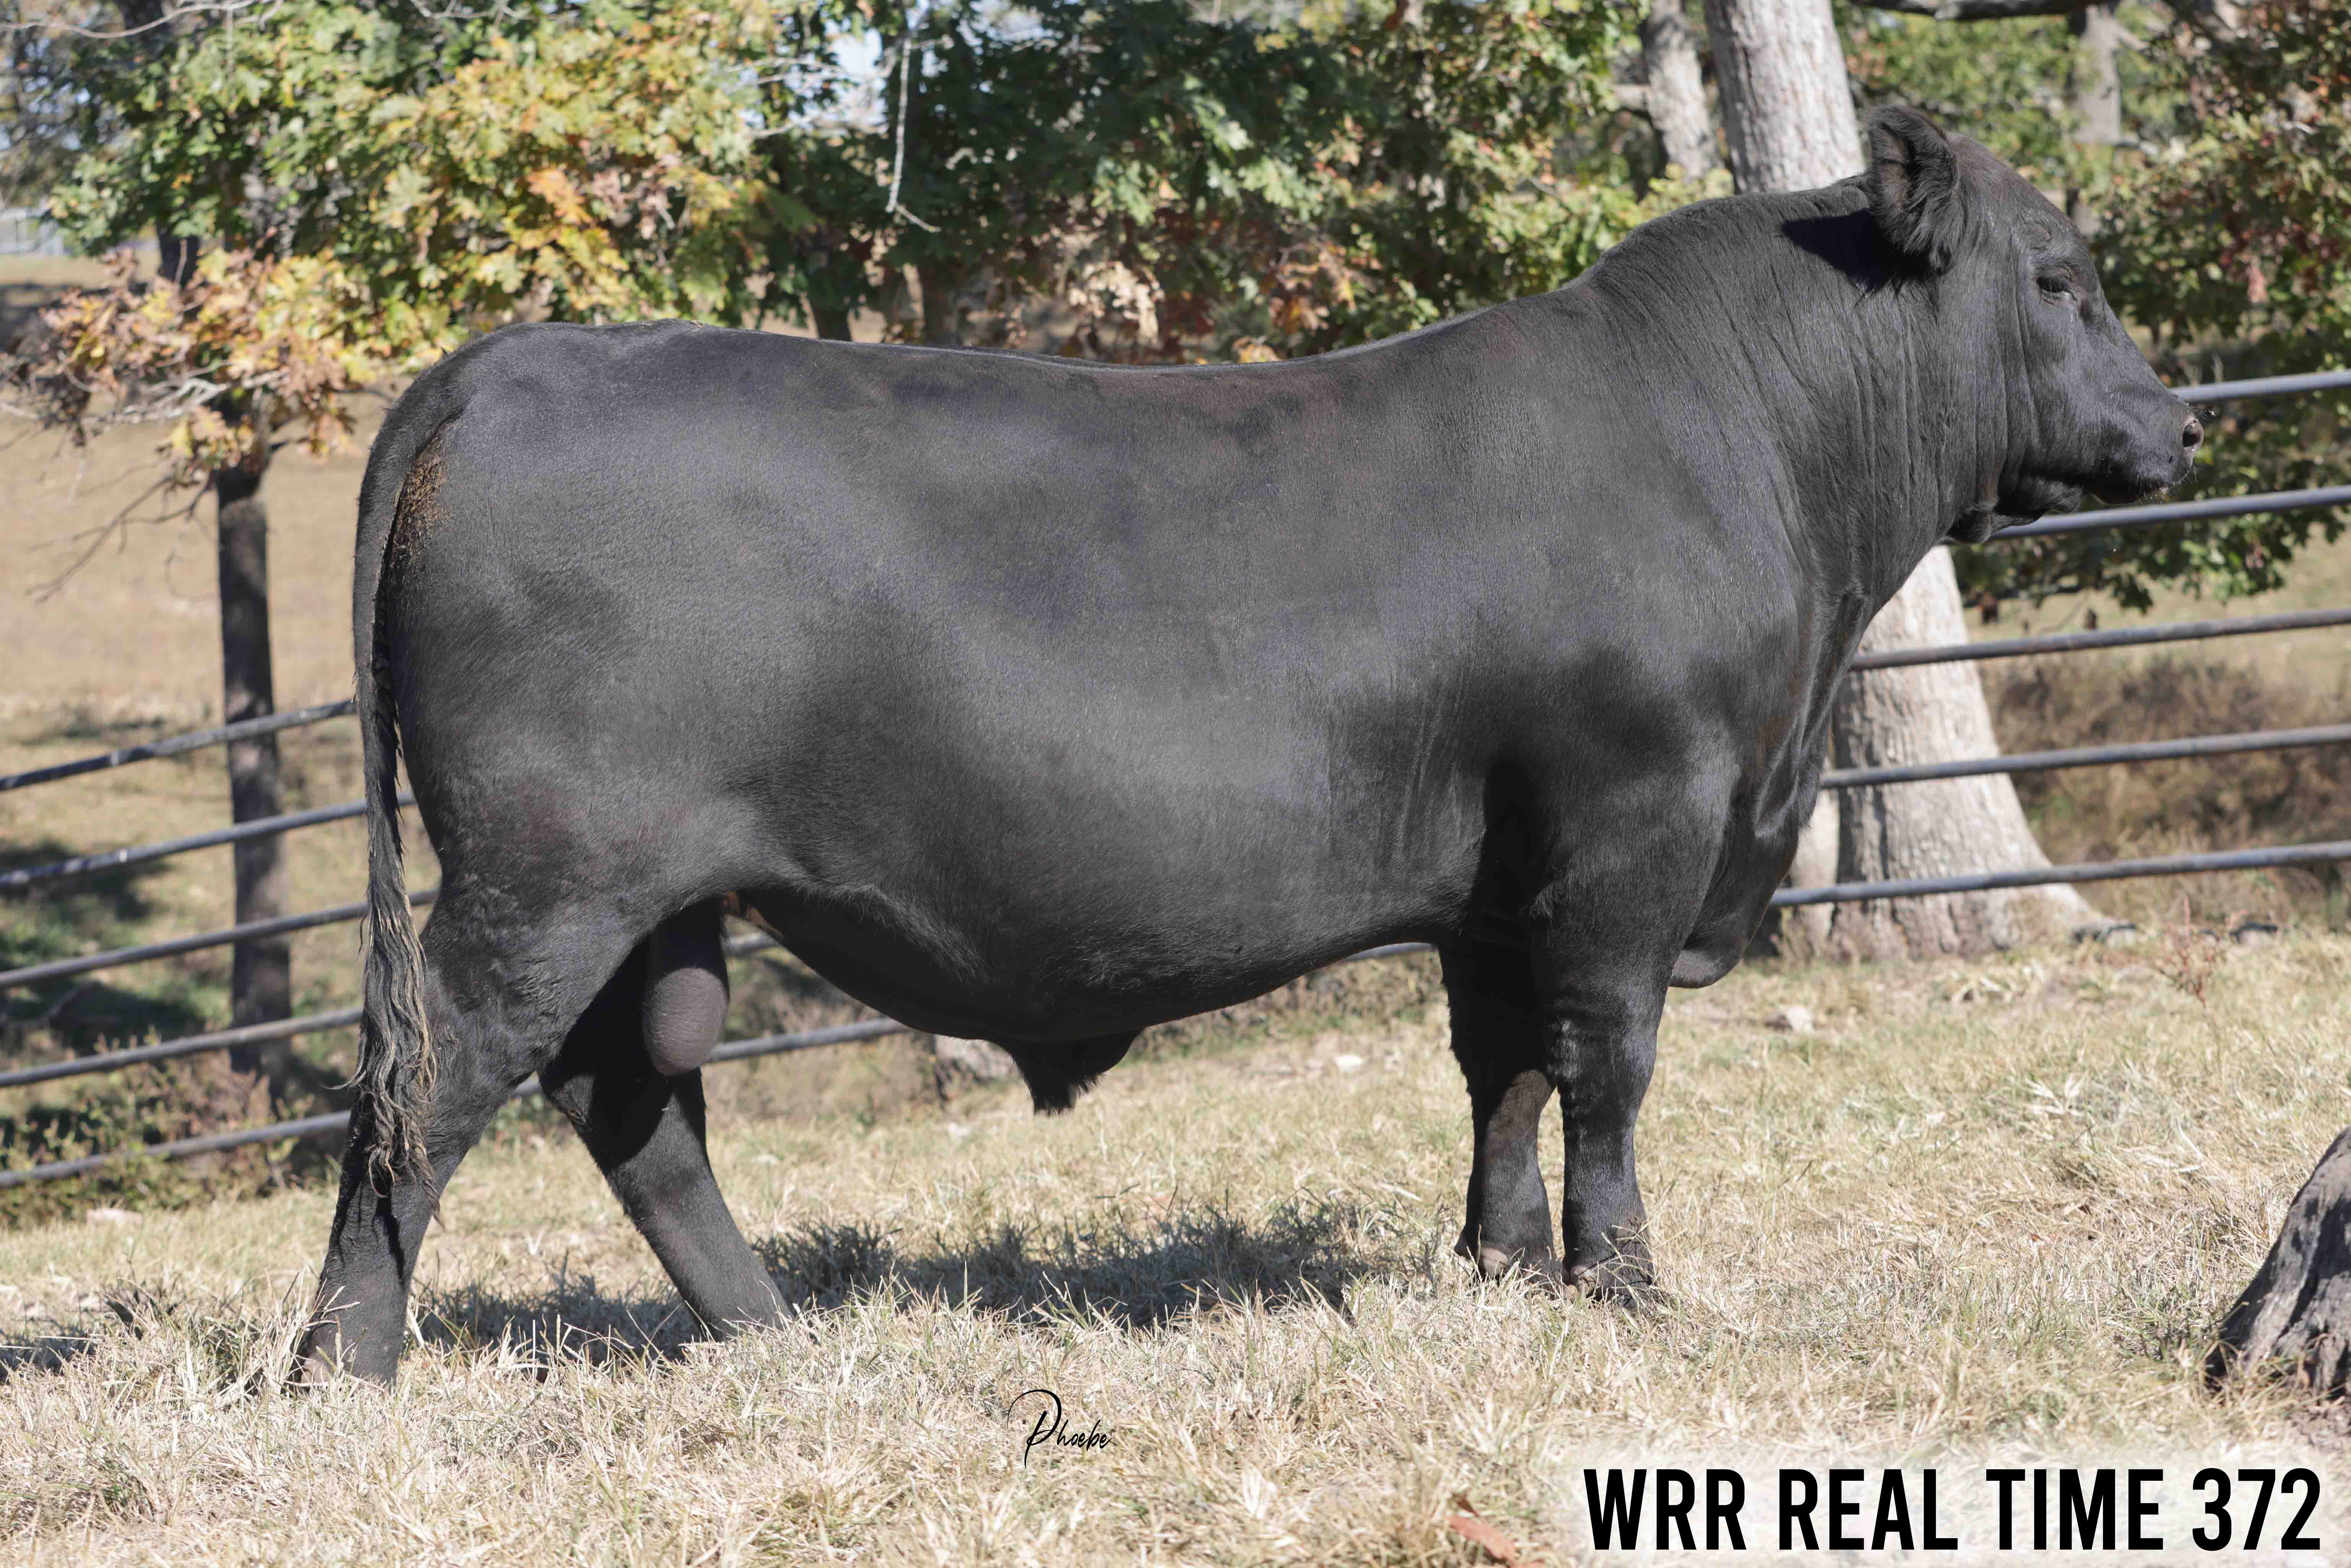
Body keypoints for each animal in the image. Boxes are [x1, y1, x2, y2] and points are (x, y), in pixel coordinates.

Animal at [297, 107, 2198, 1380]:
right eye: (2059, 278)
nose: (2176, 426)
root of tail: (507, 364)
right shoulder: (1633, 822)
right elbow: (1608, 1062)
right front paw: (1625, 1283)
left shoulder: (1500, 871)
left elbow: (1501, 1068)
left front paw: (1500, 1264)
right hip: (547, 875)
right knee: (431, 1079)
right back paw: (345, 1363)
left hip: (635, 891)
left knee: (628, 1098)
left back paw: (775, 1335)